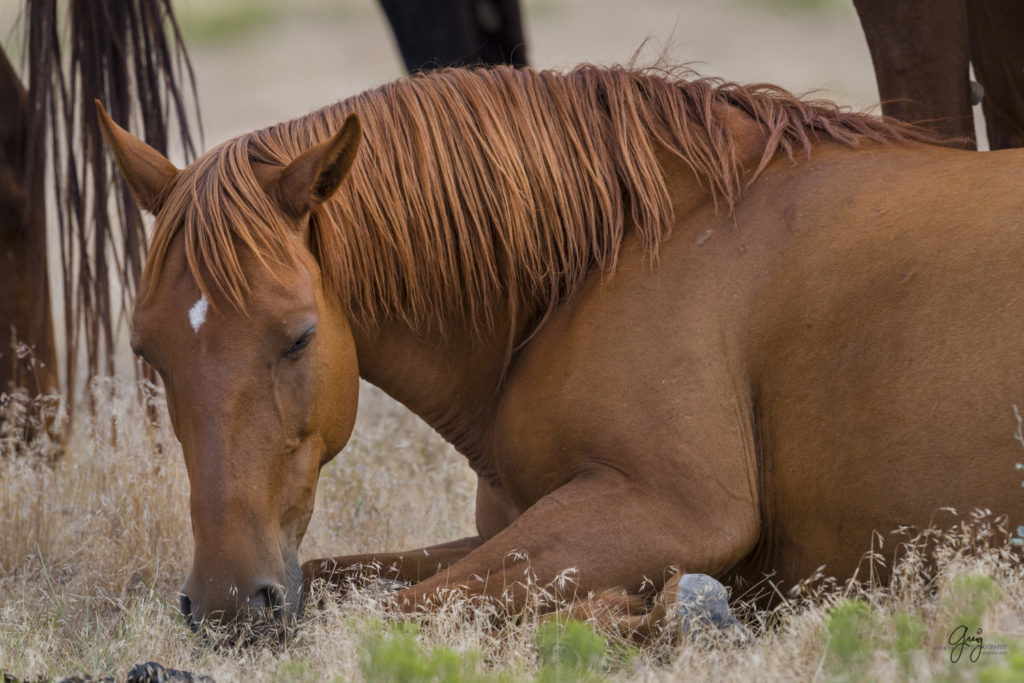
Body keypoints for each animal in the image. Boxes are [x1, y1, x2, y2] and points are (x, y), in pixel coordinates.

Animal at [97, 62, 1024, 634]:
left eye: (299, 336)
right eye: (148, 353)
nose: (225, 603)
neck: (614, 253)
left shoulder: (671, 511)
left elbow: (398, 608)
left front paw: (659, 616)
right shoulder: (523, 521)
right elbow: (347, 579)